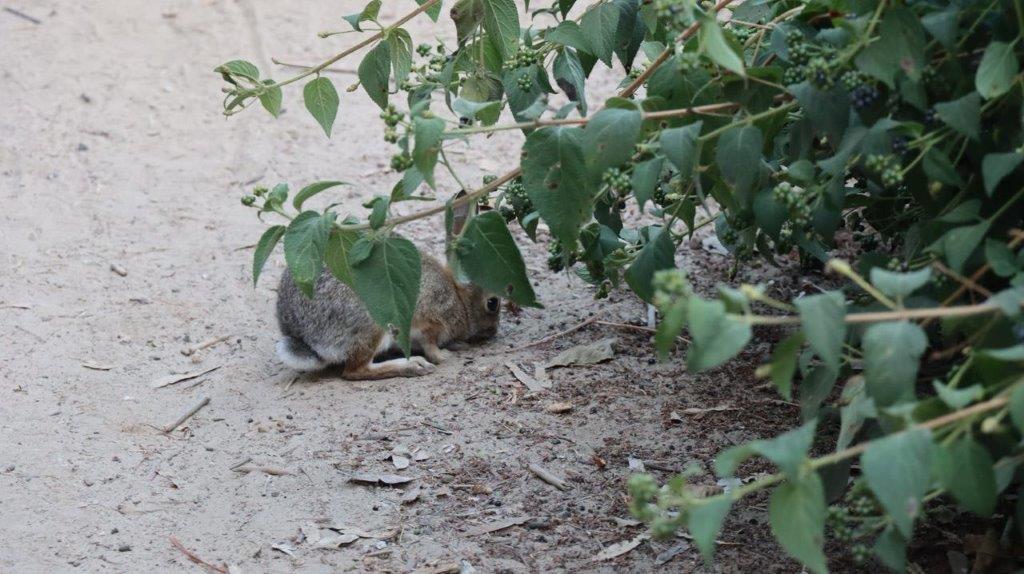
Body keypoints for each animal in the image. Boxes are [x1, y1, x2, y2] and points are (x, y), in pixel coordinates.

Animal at [270, 194, 497, 378]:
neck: (458, 297)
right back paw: (413, 366)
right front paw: (444, 356)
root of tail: (303, 338)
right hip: (374, 324)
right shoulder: (431, 319)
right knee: (355, 370)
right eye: (492, 303)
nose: (493, 332)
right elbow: (431, 345)